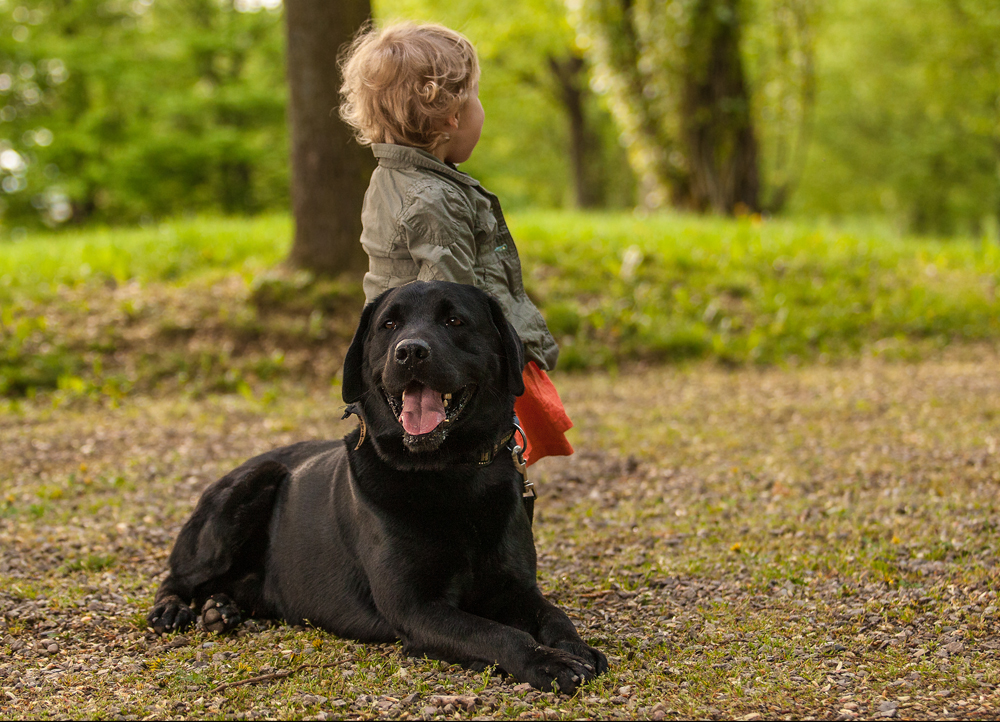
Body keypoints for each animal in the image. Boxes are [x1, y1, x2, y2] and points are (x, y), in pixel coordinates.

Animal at [145, 280, 604, 692]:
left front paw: (576, 648)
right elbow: (497, 633)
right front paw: (548, 663)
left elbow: (554, 615)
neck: (448, 474)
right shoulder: (415, 607)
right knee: (177, 577)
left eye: (455, 320)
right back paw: (173, 611)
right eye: (389, 325)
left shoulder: (515, 587)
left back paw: (220, 609)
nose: (410, 351)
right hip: (250, 487)